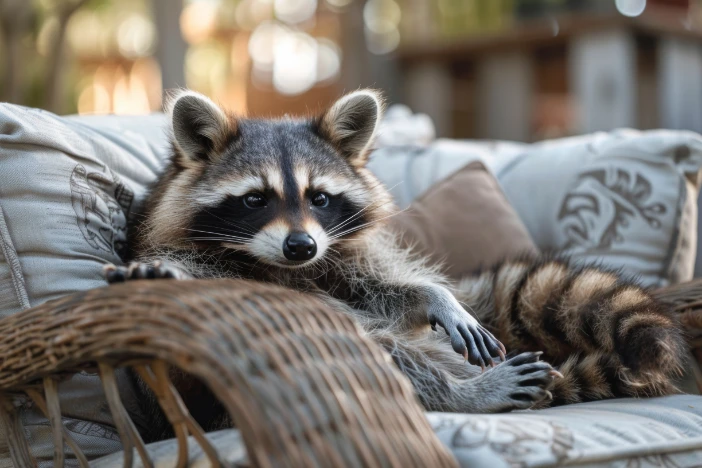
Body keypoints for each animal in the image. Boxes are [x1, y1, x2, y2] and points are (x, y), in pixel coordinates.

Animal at [108, 89, 688, 440]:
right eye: (255, 200)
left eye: (320, 198)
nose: (300, 246)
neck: (277, 264)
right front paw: (163, 275)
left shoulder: (337, 253)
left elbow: (378, 291)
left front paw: (432, 296)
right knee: (365, 345)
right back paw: (464, 393)